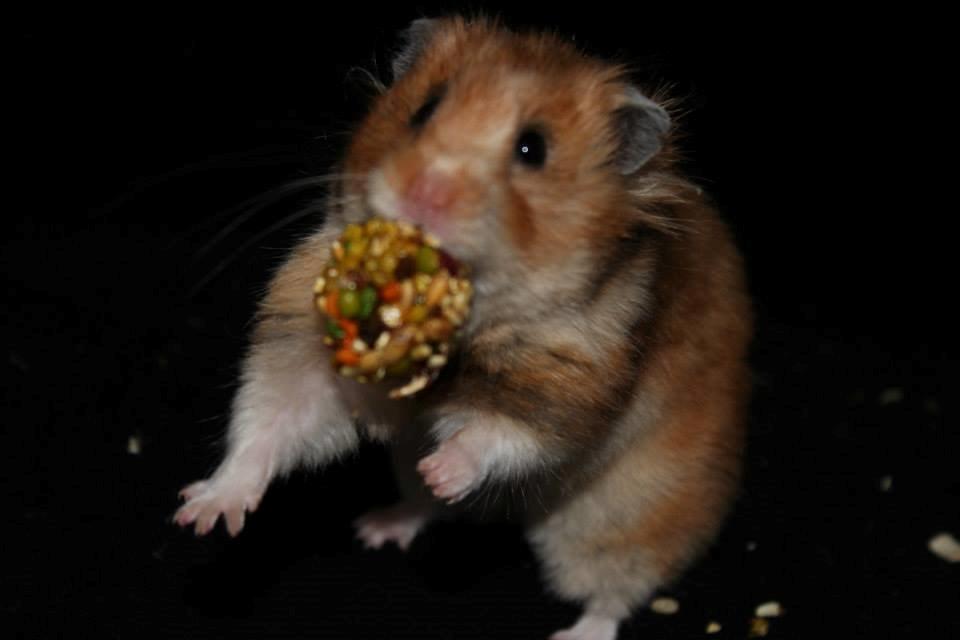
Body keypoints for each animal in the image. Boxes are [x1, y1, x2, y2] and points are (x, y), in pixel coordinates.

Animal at [174, 16, 753, 640]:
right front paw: (201, 513)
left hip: (625, 517)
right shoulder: (304, 346)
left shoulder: (573, 383)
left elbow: (501, 434)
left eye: (533, 148)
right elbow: (269, 422)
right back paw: (379, 525)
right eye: (424, 109)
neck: (463, 328)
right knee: (427, 509)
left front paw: (443, 466)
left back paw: (572, 631)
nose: (422, 196)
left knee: (616, 588)